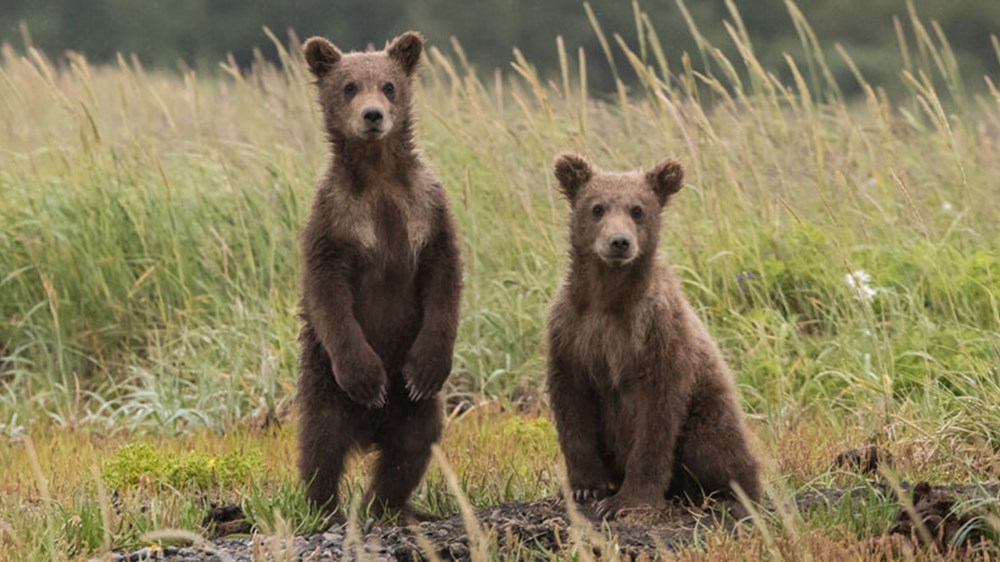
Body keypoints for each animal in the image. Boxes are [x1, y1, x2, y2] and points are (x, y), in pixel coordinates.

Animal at [296, 31, 462, 522]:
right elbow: (328, 293)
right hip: (324, 383)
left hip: (414, 410)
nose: (373, 115)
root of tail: (369, 432)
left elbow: (444, 278)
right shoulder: (334, 219)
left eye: (388, 85)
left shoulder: (426, 209)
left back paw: (390, 506)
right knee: (321, 443)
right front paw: (368, 378)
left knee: (411, 447)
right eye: (349, 86)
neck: (378, 175)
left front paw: (426, 367)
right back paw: (325, 508)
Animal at [546, 153, 761, 520]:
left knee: (717, 448)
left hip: (708, 409)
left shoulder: (657, 335)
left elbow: (655, 421)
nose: (619, 242)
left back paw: (733, 497)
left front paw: (628, 502)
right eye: (597, 207)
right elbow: (572, 408)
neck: (609, 299)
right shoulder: (571, 332)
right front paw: (585, 488)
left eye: (637, 209)